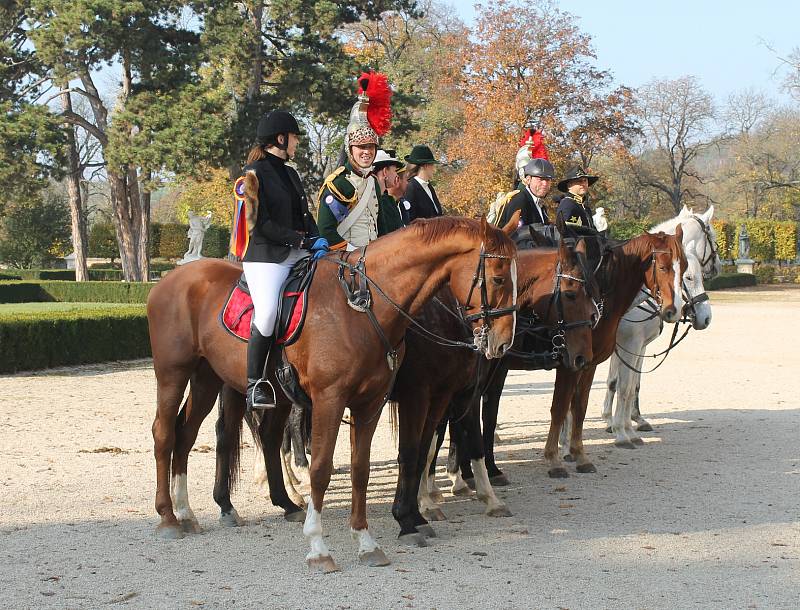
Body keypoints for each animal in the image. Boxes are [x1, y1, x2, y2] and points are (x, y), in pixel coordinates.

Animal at [146, 211, 516, 568]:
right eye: (499, 277)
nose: (502, 342)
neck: (363, 305)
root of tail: (171, 278)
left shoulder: (379, 403)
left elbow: (368, 467)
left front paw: (370, 540)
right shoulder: (343, 399)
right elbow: (324, 468)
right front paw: (320, 547)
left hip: (211, 379)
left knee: (196, 434)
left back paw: (201, 511)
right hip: (175, 374)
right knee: (168, 433)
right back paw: (171, 516)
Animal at [390, 236, 596, 540]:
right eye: (571, 294)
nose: (583, 358)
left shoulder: (462, 390)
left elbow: (454, 439)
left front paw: (478, 493)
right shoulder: (428, 393)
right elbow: (430, 445)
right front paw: (428, 500)